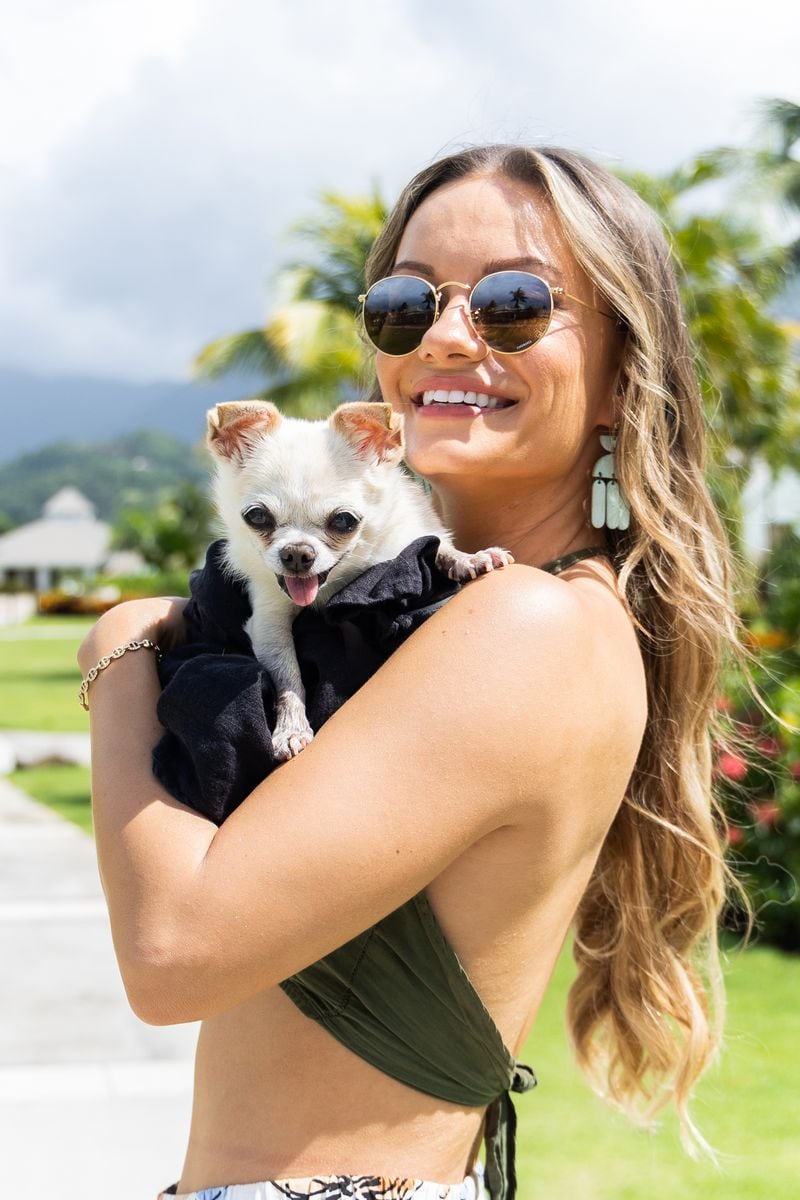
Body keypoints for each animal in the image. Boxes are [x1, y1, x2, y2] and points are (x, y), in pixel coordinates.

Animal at [206, 403, 513, 758]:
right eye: (257, 517)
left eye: (344, 521)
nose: (297, 553)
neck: (330, 585)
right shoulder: (269, 619)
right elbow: (288, 676)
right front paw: (291, 728)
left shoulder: (410, 534)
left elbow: (440, 546)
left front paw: (469, 559)